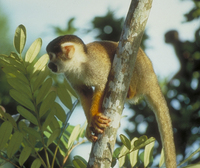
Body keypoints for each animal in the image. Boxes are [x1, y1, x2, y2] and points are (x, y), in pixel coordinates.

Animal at [46, 34, 176, 167]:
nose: (49, 65)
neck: (79, 63)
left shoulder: (95, 66)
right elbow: (85, 93)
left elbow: (102, 84)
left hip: (143, 71)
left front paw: (94, 117)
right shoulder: (70, 74)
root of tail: (152, 79)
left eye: (51, 56)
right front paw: (90, 126)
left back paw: (130, 90)